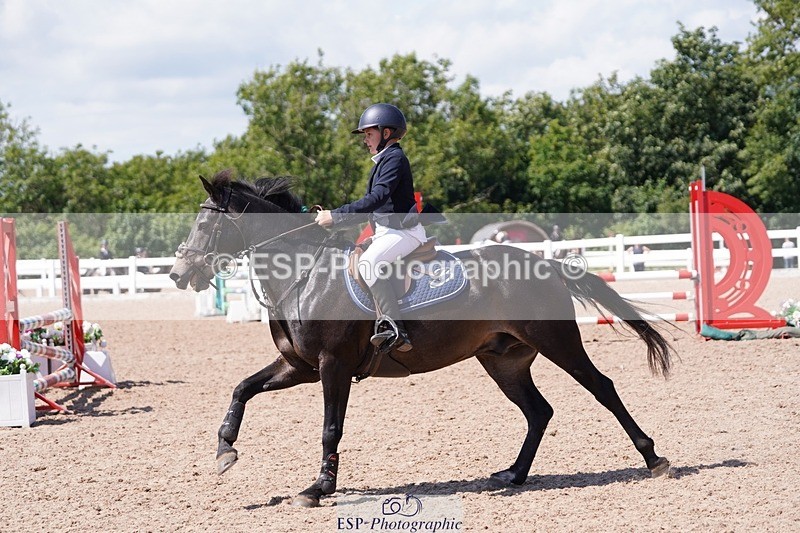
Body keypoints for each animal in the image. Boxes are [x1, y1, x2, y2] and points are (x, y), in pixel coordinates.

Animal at [169, 169, 675, 507]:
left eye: (207, 225)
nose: (178, 275)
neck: (303, 274)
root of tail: (546, 263)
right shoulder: (300, 367)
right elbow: (242, 388)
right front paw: (225, 451)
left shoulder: (332, 365)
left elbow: (331, 427)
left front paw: (318, 488)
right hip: (504, 360)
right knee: (538, 411)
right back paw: (512, 474)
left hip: (558, 343)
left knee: (602, 388)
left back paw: (654, 459)